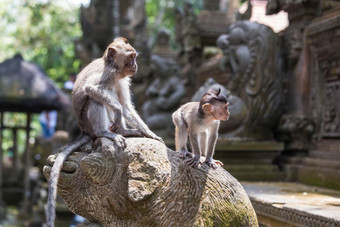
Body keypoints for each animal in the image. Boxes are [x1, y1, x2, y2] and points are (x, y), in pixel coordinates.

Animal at [47, 37, 163, 227]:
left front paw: (149, 133)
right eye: (131, 57)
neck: (114, 68)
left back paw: (124, 131)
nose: (135, 65)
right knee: (96, 99)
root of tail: (85, 131)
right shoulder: (108, 73)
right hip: (91, 123)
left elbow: (126, 107)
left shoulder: (122, 79)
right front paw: (117, 111)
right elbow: (92, 89)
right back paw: (107, 132)